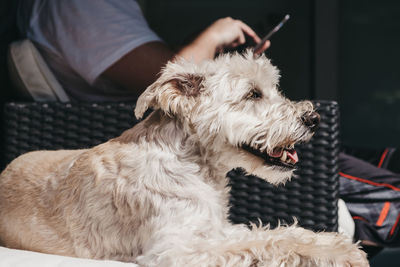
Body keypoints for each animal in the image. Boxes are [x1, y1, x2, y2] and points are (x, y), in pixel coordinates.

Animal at [0, 51, 368, 266]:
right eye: (253, 94)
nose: (314, 118)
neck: (193, 165)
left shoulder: (216, 228)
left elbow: (275, 232)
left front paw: (333, 247)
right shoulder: (176, 250)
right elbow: (266, 243)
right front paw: (337, 253)